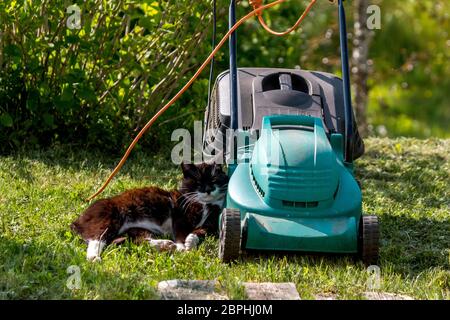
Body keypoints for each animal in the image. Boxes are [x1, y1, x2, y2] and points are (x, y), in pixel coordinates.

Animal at [73, 162, 232, 260]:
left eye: (214, 180)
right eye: (198, 182)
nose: (208, 189)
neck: (205, 204)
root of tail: (77, 220)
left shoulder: (210, 225)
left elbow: (199, 232)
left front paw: (191, 241)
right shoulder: (180, 217)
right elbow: (181, 233)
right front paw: (183, 247)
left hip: (134, 230)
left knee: (137, 240)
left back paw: (165, 245)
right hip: (109, 219)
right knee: (96, 239)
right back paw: (94, 257)